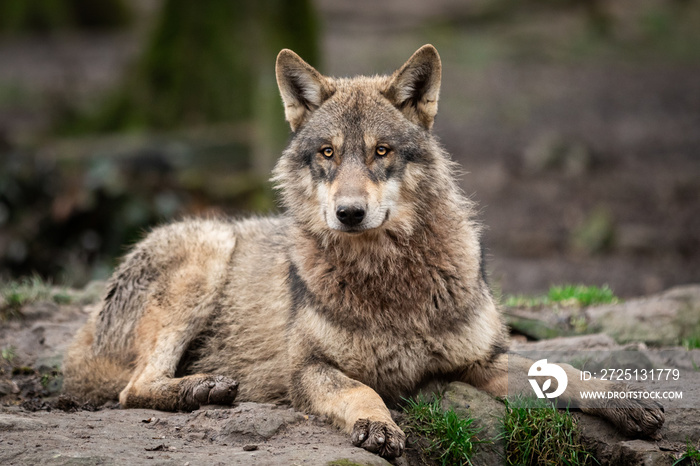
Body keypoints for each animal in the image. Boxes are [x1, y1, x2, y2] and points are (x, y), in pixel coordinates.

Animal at [63, 44, 664, 458]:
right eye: (328, 153)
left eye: (381, 152)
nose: (349, 213)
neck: (390, 279)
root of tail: (80, 343)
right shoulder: (308, 369)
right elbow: (359, 390)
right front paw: (378, 425)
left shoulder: (481, 359)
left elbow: (560, 367)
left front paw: (624, 401)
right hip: (205, 254)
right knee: (132, 390)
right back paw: (202, 388)